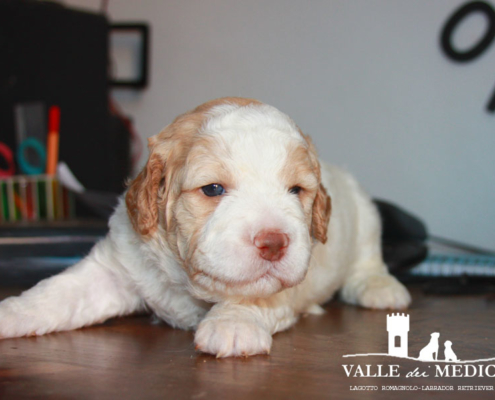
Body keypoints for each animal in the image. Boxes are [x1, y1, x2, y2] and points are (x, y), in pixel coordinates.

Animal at [0, 98, 410, 358]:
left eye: (296, 190)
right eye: (213, 189)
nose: (274, 242)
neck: (186, 282)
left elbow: (254, 293)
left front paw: (232, 323)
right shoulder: (115, 266)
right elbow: (56, 294)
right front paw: (11, 314)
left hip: (365, 214)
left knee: (368, 260)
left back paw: (381, 289)